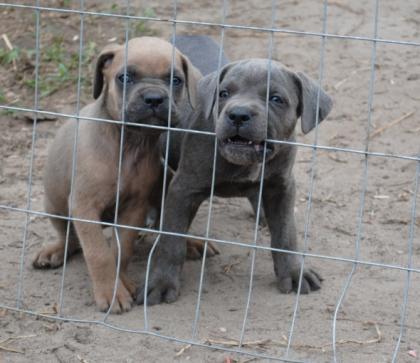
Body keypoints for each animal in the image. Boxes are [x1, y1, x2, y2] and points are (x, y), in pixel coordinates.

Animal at [137, 48, 332, 308]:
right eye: (224, 94)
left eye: (276, 99)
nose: (238, 114)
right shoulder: (183, 188)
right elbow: (172, 241)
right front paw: (160, 283)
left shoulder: (282, 187)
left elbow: (286, 234)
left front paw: (294, 273)